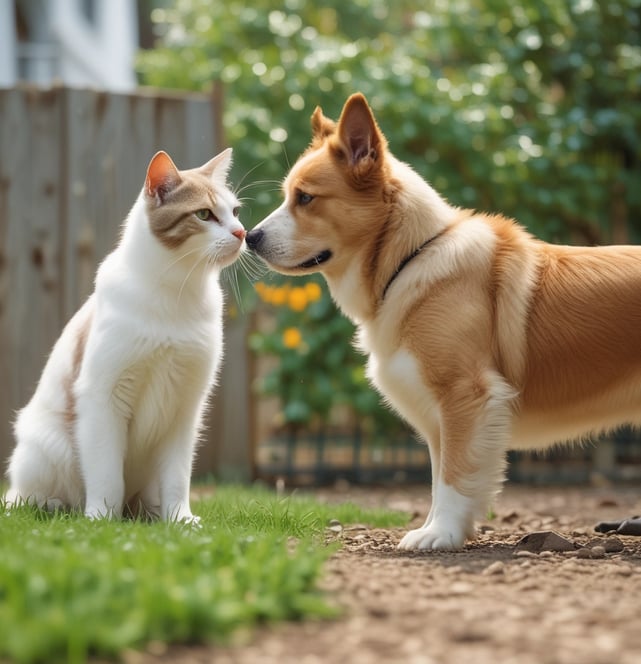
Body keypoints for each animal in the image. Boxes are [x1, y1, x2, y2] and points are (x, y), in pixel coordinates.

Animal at [4, 148, 245, 520]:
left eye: (234, 212)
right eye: (204, 214)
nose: (242, 233)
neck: (175, 293)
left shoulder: (185, 406)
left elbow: (177, 476)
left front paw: (180, 519)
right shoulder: (103, 398)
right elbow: (107, 475)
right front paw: (101, 520)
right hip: (48, 446)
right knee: (22, 499)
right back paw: (55, 507)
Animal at [248, 94, 640, 548]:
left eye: (306, 198)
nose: (250, 237)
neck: (410, 258)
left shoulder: (466, 397)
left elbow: (454, 477)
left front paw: (441, 534)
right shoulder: (439, 415)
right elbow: (439, 481)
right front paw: (437, 528)